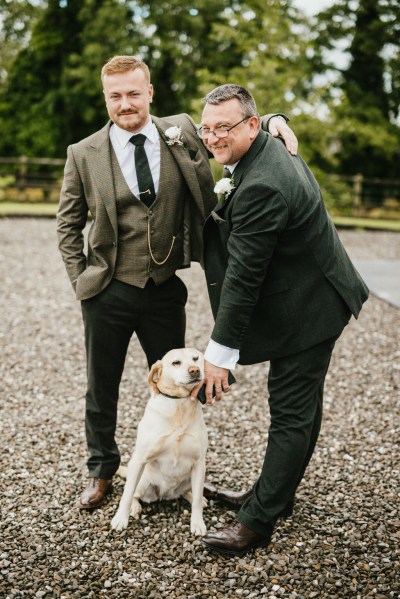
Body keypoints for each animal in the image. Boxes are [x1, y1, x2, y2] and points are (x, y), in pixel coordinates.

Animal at [111, 350, 208, 536]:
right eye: (176, 362)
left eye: (196, 358)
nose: (195, 370)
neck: (180, 404)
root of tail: (166, 494)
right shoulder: (140, 459)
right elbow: (127, 494)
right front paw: (120, 519)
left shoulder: (199, 462)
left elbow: (198, 499)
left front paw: (198, 522)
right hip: (142, 480)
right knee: (134, 493)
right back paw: (134, 507)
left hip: (190, 478)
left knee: (187, 492)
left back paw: (192, 496)